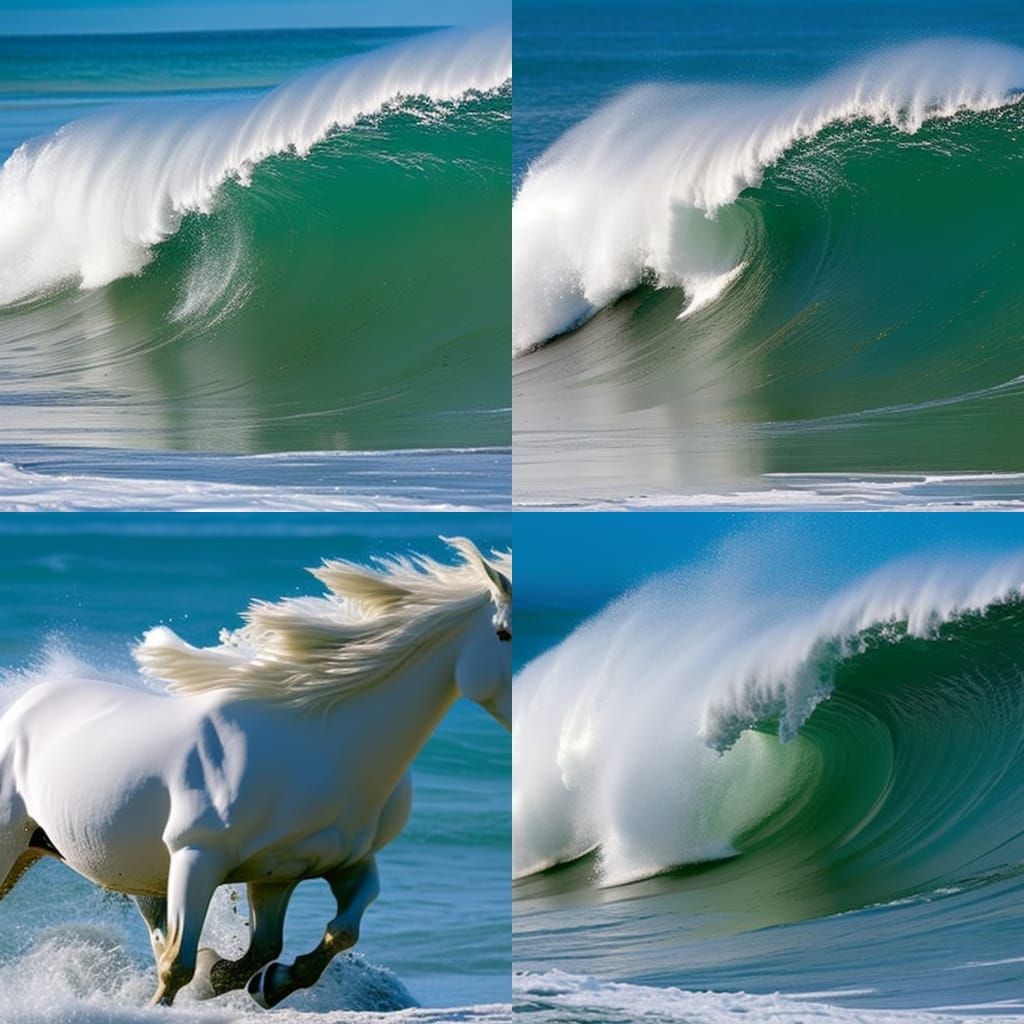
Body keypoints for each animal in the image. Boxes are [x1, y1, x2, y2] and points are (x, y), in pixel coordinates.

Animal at [0, 536, 511, 1008]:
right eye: (504, 633)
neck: (318, 751)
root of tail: (25, 702)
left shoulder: (302, 869)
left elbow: (316, 937)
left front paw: (256, 983)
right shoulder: (196, 858)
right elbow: (178, 965)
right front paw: (184, 992)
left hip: (132, 877)